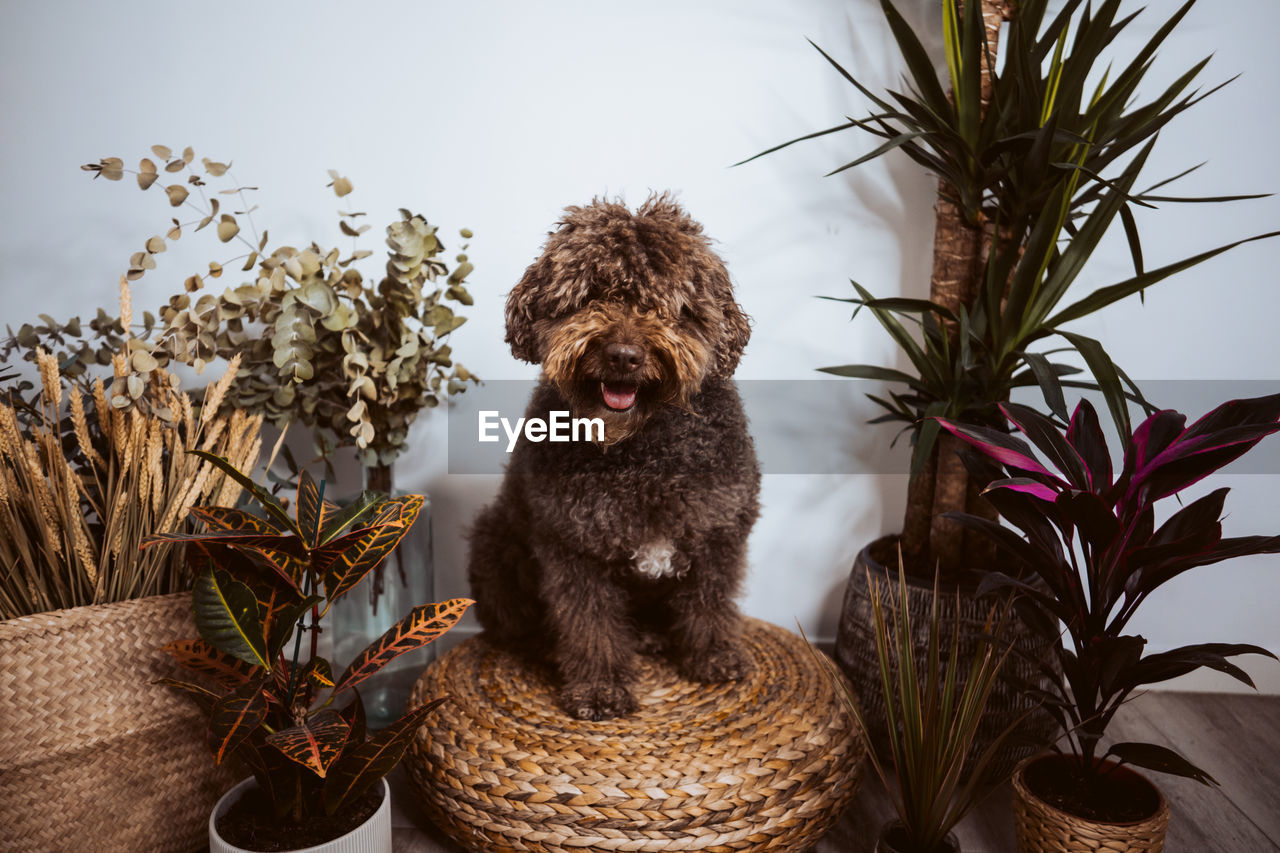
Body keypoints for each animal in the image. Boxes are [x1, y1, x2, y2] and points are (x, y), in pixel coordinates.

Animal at [465, 194, 752, 717]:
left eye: (666, 306)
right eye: (590, 296)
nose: (623, 355)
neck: (639, 450)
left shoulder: (718, 531)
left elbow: (710, 601)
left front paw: (714, 656)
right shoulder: (574, 546)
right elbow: (590, 624)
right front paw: (599, 687)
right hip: (493, 541)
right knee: (515, 625)